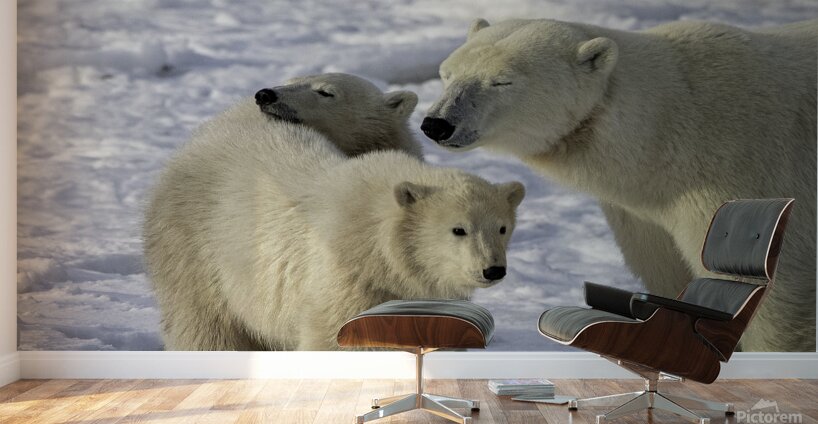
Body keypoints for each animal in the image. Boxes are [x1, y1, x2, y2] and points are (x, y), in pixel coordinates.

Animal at [143, 81, 525, 351]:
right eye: (458, 230)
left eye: (502, 228)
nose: (492, 269)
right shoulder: (346, 281)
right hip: (197, 249)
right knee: (207, 327)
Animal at [422, 18, 817, 352]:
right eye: (448, 74)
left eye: (502, 81)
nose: (436, 124)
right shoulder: (646, 216)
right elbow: (668, 278)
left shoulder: (741, 180)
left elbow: (776, 302)